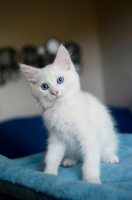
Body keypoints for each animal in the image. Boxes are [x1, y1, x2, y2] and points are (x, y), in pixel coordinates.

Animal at [20, 45, 118, 184]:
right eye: (45, 86)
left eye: (60, 80)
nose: (54, 92)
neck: (61, 108)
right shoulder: (56, 138)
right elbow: (52, 156)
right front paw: (49, 174)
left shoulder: (89, 136)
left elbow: (91, 161)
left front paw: (91, 179)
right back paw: (70, 160)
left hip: (108, 136)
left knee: (107, 148)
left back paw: (109, 156)